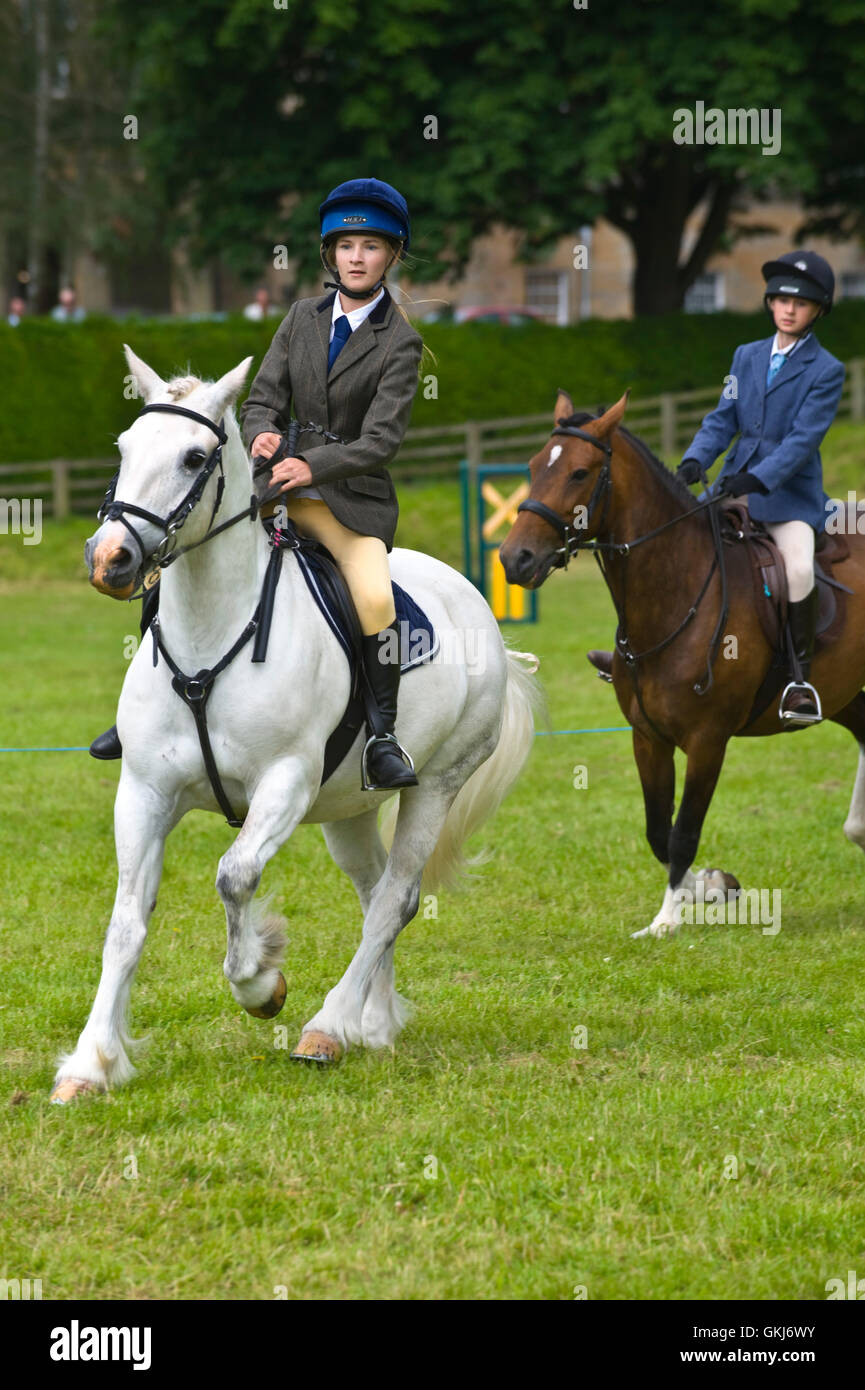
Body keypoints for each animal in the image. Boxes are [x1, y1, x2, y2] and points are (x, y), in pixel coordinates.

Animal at [50, 347, 540, 1102]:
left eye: (194, 458)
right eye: (125, 447)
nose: (110, 560)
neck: (210, 632)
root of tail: (474, 603)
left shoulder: (283, 782)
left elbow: (234, 876)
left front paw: (261, 983)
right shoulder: (144, 792)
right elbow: (127, 921)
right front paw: (91, 1062)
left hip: (434, 786)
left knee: (395, 899)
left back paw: (328, 1027)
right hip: (349, 809)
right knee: (374, 894)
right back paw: (373, 1023)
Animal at [499, 389, 865, 939]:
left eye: (580, 473)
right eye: (534, 465)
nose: (514, 559)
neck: (678, 593)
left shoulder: (708, 741)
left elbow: (684, 831)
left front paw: (666, 920)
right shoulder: (648, 737)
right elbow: (658, 830)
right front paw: (712, 885)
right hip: (847, 695)